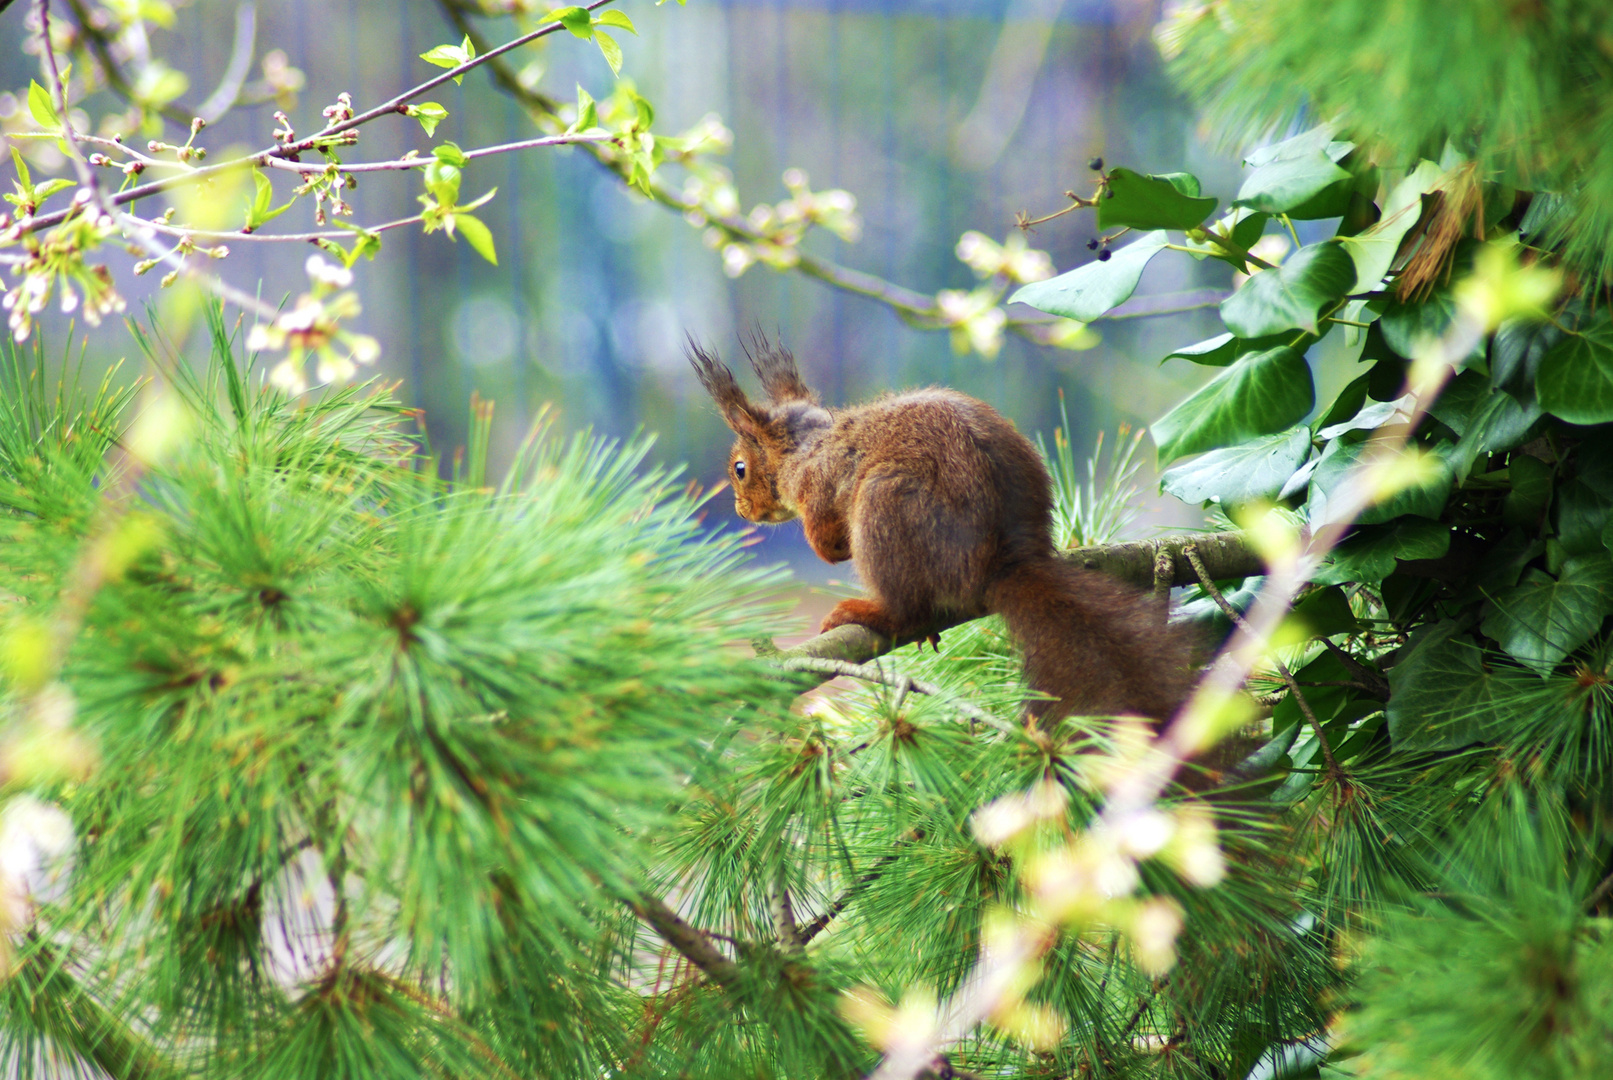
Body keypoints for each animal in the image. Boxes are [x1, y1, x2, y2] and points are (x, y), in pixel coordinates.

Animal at [687, 338, 1193, 728]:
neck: (805, 447)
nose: (742, 509)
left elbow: (828, 544)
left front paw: (832, 551)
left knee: (906, 606)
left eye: (740, 469)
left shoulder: (819, 487)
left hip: (886, 504)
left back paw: (871, 611)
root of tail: (1001, 563)